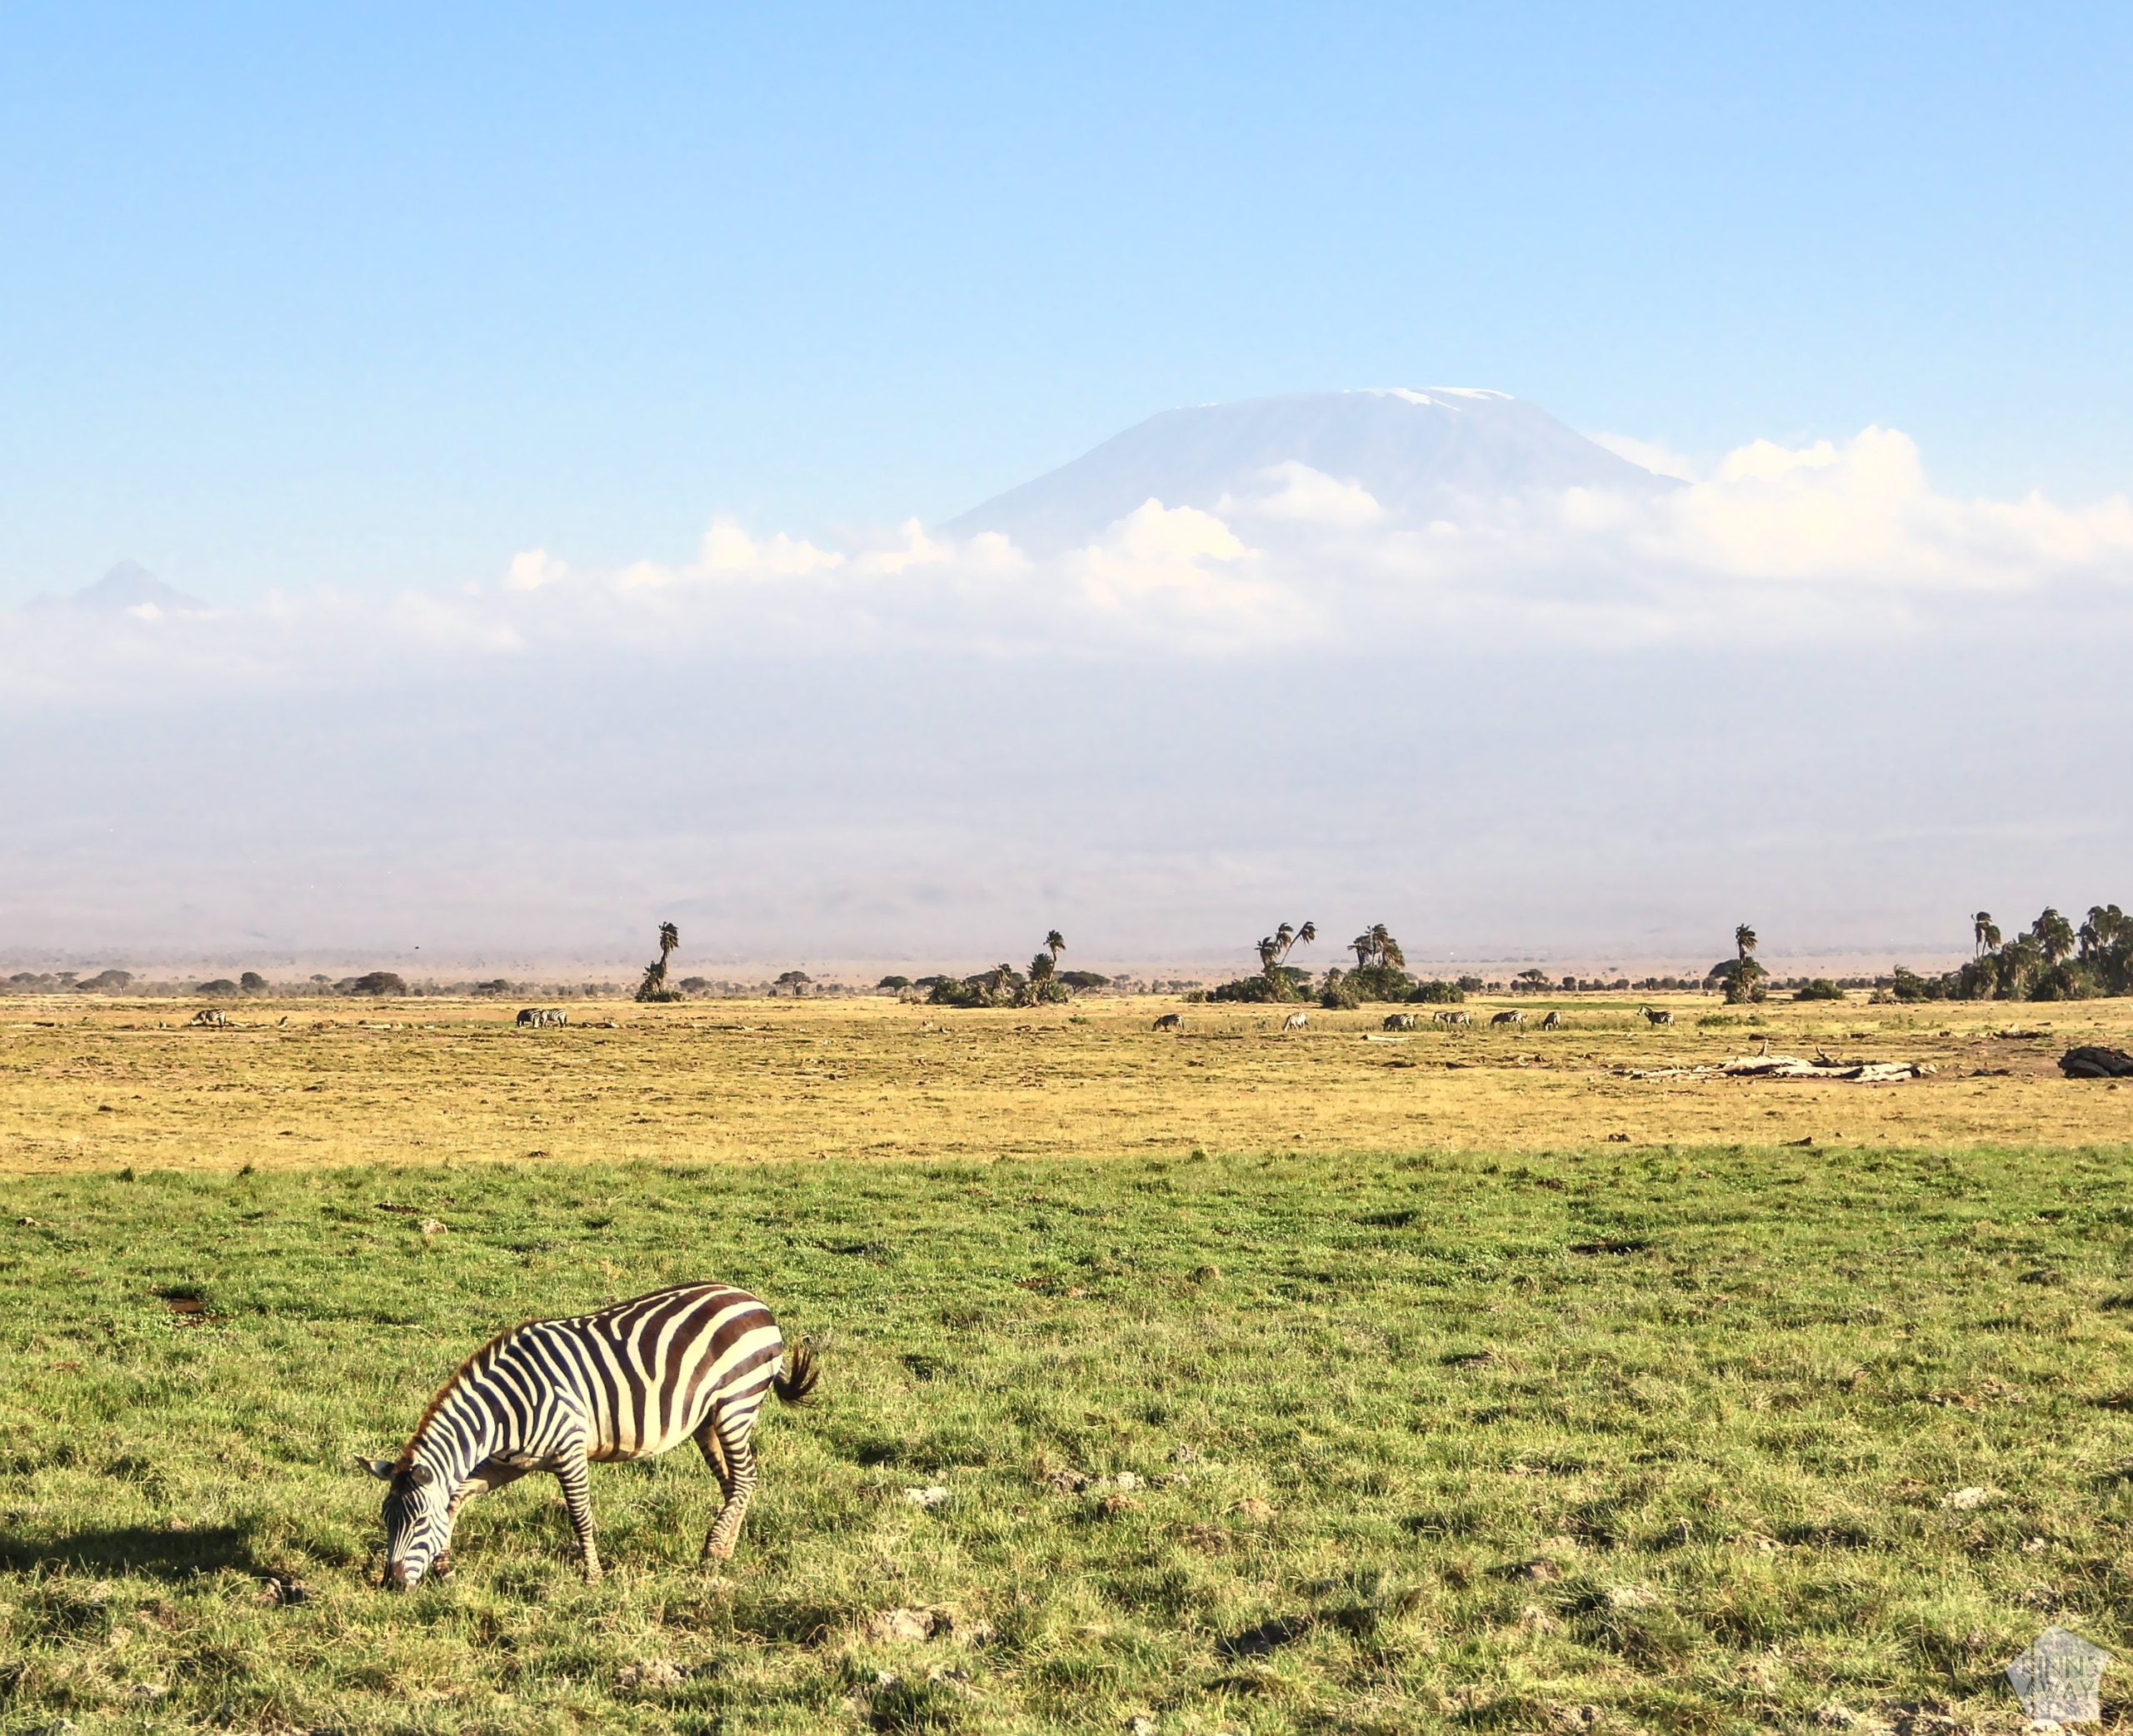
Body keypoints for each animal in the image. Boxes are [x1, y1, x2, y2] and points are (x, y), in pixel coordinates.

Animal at [358, 1288, 814, 1595]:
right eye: (386, 1521)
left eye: (417, 1522)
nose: (390, 1584)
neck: (504, 1411)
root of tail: (755, 1302)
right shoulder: (510, 1462)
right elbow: (456, 1498)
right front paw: (445, 1567)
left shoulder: (570, 1451)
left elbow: (581, 1516)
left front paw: (593, 1576)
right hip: (707, 1419)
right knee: (736, 1483)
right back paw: (724, 1549)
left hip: (737, 1403)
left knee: (744, 1477)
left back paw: (713, 1550)